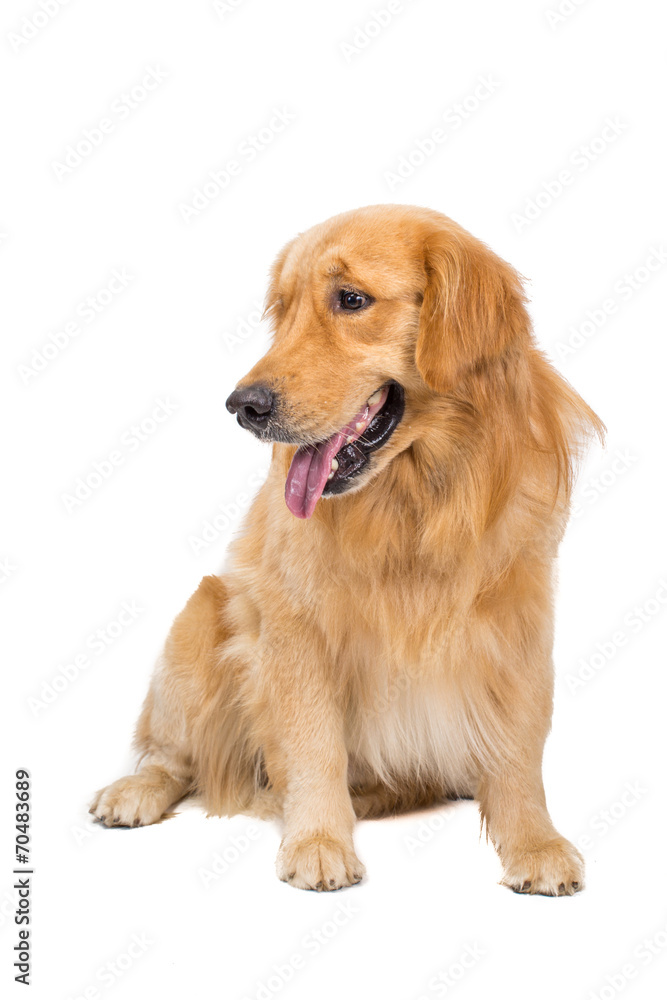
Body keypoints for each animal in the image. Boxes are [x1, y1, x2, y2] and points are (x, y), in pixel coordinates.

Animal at [90, 207, 604, 896]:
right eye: (283, 310)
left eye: (351, 300)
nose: (243, 406)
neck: (414, 503)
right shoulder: (295, 624)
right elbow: (313, 744)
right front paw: (318, 841)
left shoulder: (518, 612)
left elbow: (519, 746)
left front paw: (535, 842)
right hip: (198, 619)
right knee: (172, 756)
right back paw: (135, 792)